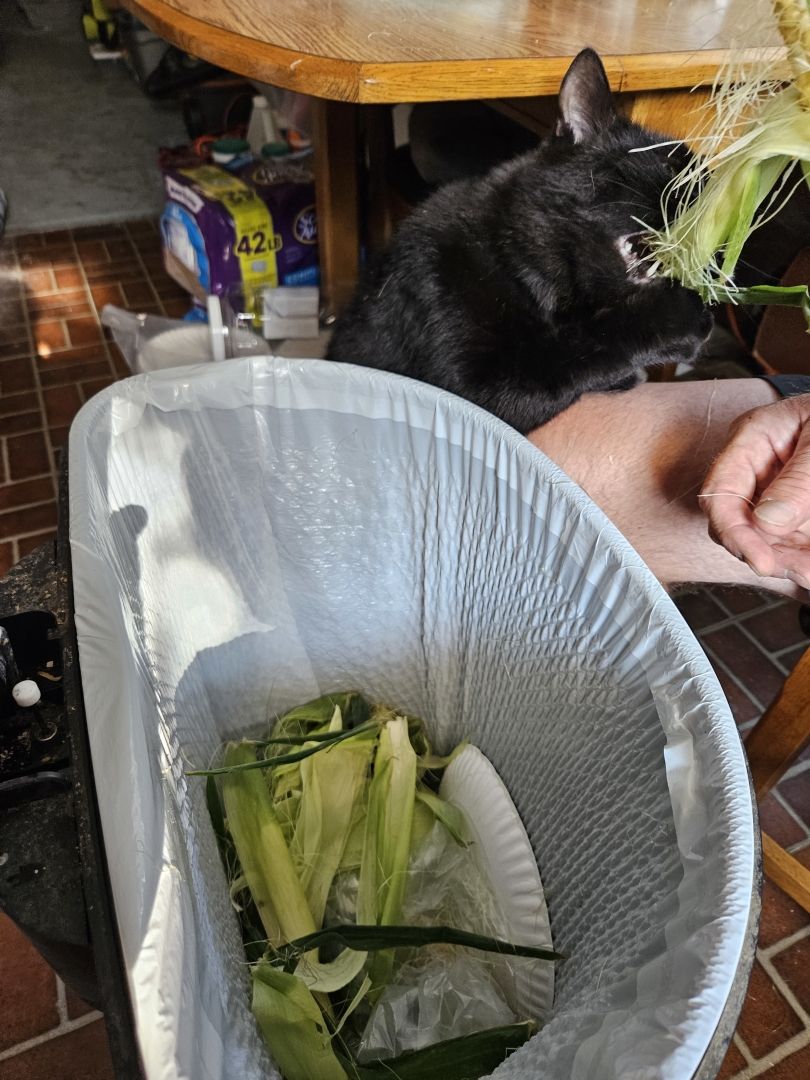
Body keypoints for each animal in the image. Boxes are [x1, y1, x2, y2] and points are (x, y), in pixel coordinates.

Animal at [326, 48, 712, 432]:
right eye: (671, 170)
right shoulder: (474, 388)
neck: (513, 263)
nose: (712, 203)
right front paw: (683, 316)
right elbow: (587, 346)